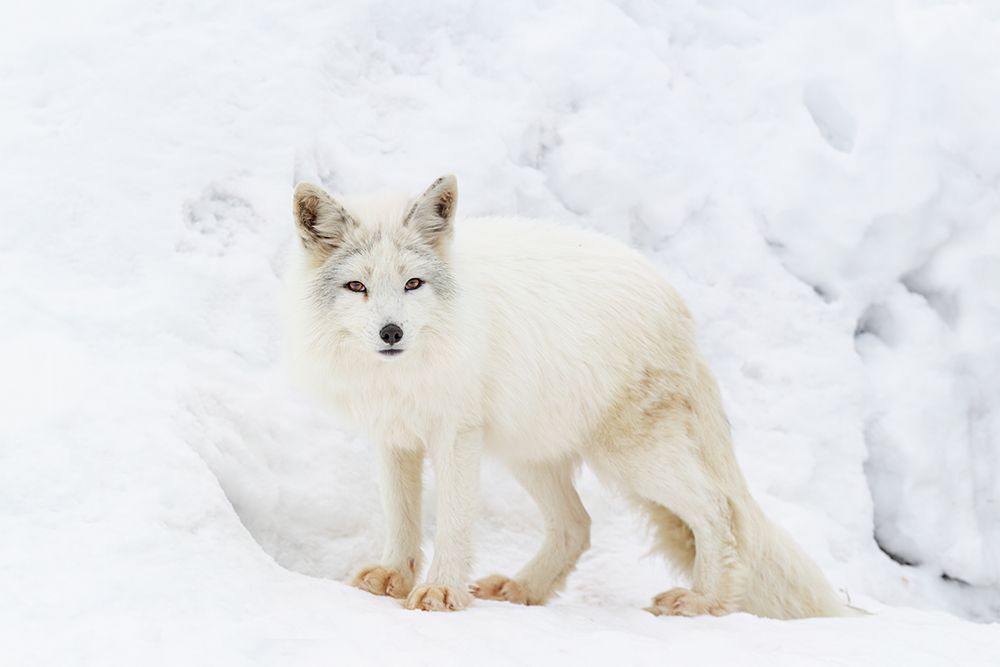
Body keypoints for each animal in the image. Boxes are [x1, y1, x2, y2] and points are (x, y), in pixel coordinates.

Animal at [285, 174, 853, 618]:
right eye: (357, 287)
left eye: (413, 284)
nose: (391, 333)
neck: (402, 375)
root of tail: (677, 307)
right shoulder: (394, 437)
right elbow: (401, 518)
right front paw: (394, 578)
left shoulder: (455, 436)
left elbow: (451, 524)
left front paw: (442, 591)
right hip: (529, 454)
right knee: (578, 526)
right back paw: (522, 589)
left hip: (631, 460)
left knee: (718, 512)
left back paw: (705, 602)